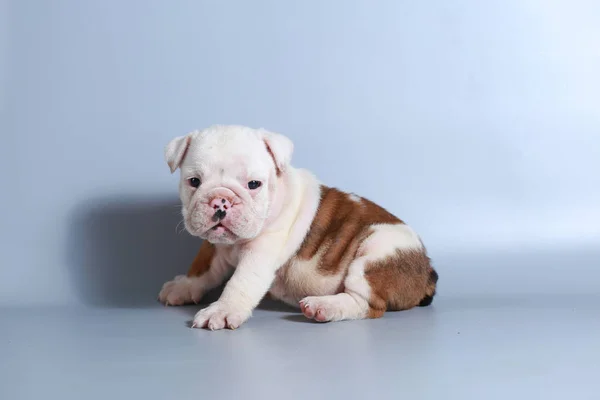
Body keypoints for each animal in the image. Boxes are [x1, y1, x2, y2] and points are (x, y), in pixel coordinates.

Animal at [157, 126, 438, 332]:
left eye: (254, 184)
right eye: (194, 181)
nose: (220, 200)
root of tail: (427, 271)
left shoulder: (261, 252)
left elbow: (240, 282)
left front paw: (222, 310)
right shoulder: (213, 246)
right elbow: (202, 267)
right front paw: (184, 287)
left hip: (377, 251)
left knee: (367, 303)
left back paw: (323, 307)